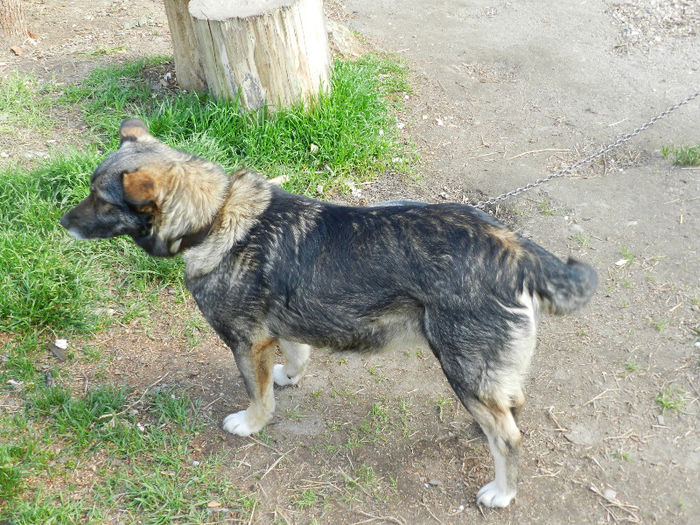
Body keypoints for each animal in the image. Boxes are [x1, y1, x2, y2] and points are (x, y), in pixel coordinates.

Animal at [60, 117, 596, 504]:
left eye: (101, 199)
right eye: (89, 189)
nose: (62, 221)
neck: (216, 216)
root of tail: (512, 246)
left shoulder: (246, 341)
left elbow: (257, 395)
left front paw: (252, 423)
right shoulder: (281, 326)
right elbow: (295, 356)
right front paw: (288, 376)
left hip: (461, 366)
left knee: (509, 438)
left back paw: (502, 492)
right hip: (483, 372)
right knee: (510, 405)